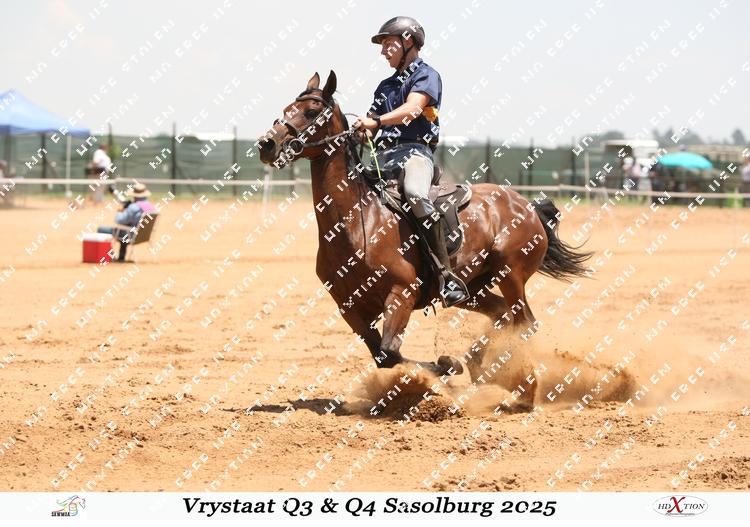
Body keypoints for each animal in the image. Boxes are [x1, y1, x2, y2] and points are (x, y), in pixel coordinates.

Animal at [257, 71, 592, 410]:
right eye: (287, 108)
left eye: (311, 111)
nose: (267, 144)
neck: (357, 220)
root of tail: (527, 206)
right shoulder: (349, 307)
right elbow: (383, 356)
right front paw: (446, 367)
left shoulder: (401, 294)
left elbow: (390, 350)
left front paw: (445, 367)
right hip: (475, 287)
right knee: (503, 315)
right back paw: (480, 365)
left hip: (511, 276)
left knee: (524, 322)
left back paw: (523, 389)